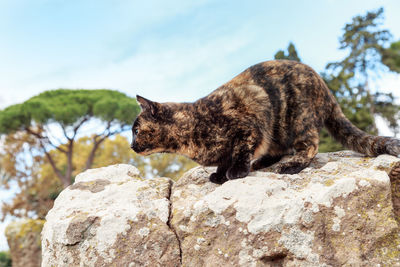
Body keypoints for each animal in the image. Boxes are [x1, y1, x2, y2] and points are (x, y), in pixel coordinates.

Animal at [131, 61, 400, 185]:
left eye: (135, 130)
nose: (132, 146)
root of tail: (324, 87)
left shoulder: (248, 126)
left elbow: (239, 151)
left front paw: (235, 172)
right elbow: (225, 158)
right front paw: (219, 174)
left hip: (296, 118)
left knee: (309, 146)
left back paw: (291, 165)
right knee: (279, 149)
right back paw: (261, 163)